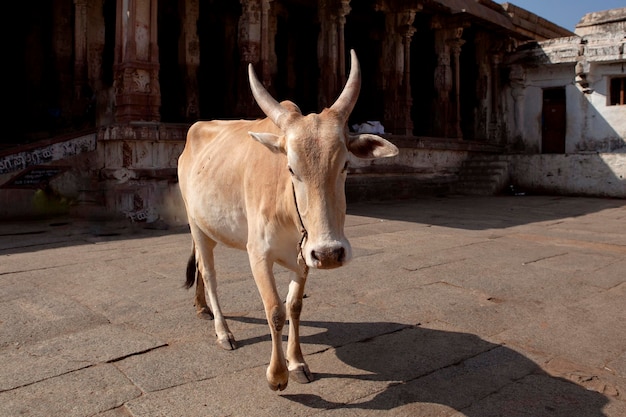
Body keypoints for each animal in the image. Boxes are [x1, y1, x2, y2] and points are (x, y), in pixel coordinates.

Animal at [178, 49, 398, 390]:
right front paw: (277, 374)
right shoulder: (258, 254)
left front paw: (297, 363)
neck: (287, 210)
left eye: (346, 164)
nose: (330, 253)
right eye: (291, 168)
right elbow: (275, 311)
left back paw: (202, 307)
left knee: (201, 267)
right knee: (210, 273)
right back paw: (223, 331)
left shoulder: (304, 254)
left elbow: (294, 306)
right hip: (195, 223)